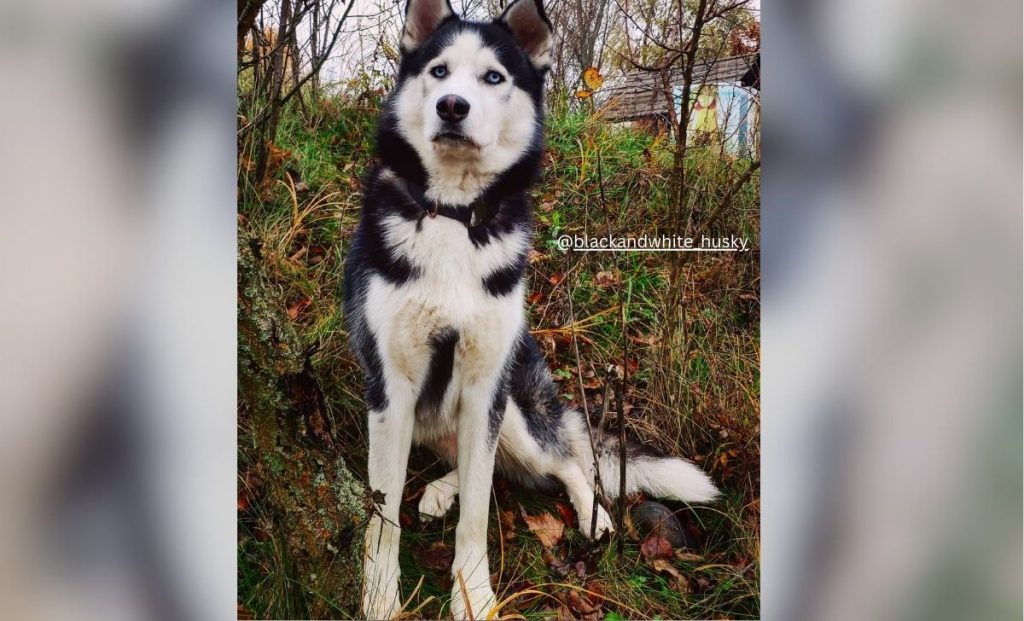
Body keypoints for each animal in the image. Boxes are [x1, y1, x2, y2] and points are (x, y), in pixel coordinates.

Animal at [342, 0, 712, 618]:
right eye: (439, 71)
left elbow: (477, 513)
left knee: (560, 462)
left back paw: (591, 512)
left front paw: (473, 592)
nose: (452, 106)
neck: (454, 214)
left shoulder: (485, 386)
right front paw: (380, 594)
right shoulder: (390, 388)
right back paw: (441, 488)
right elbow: (383, 510)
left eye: (494, 77)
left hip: (513, 404)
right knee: (480, 465)